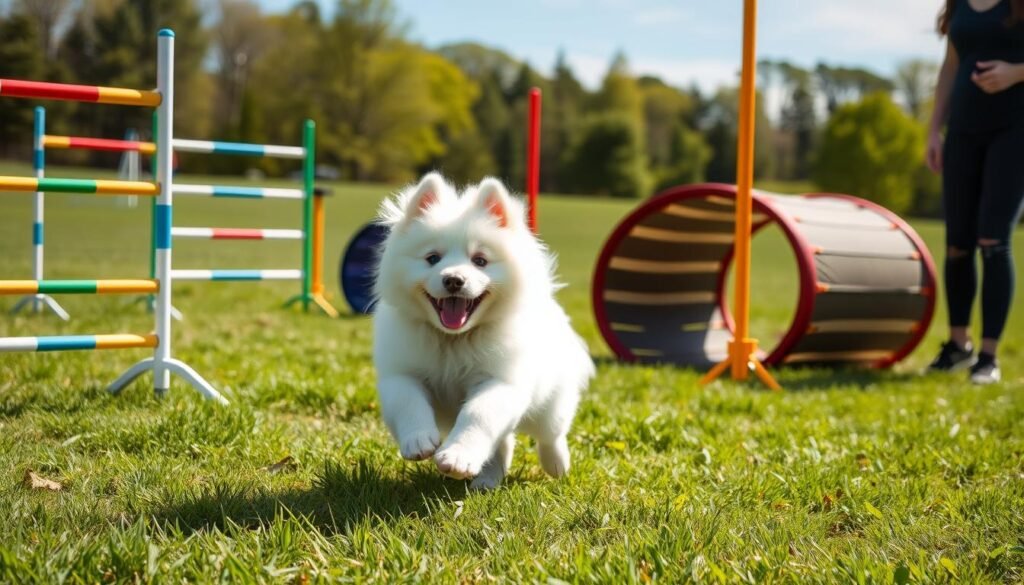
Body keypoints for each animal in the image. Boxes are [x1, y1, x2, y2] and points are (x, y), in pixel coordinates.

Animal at [370, 173, 593, 489]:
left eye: (480, 261)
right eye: (432, 258)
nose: (453, 280)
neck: (453, 339)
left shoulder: (499, 382)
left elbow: (478, 414)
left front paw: (456, 457)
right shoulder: (401, 373)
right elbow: (408, 401)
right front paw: (419, 441)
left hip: (551, 402)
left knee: (551, 433)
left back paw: (557, 465)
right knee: (504, 442)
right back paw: (487, 479)